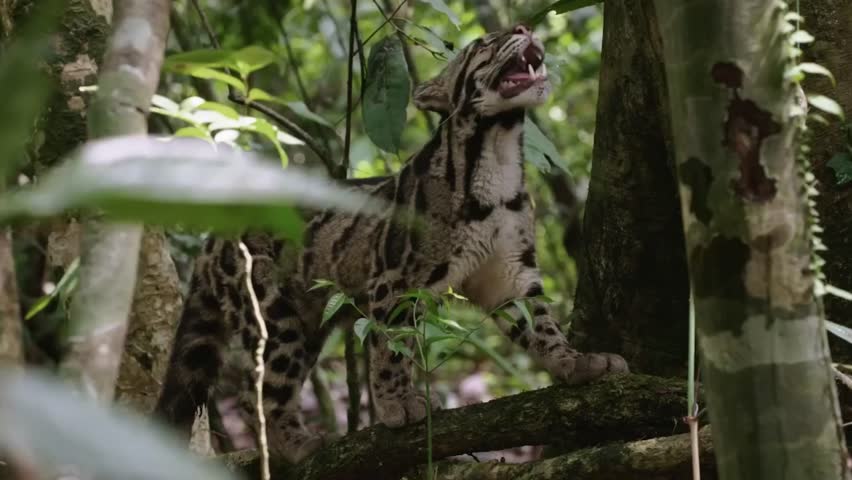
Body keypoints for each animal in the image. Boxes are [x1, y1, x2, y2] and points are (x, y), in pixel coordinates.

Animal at [154, 24, 629, 463]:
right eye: (483, 44)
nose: (523, 28)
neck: (499, 152)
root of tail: (212, 237)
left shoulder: (510, 274)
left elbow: (541, 324)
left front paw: (573, 361)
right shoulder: (395, 277)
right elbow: (390, 348)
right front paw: (397, 404)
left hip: (309, 319)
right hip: (271, 310)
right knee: (265, 393)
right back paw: (295, 442)